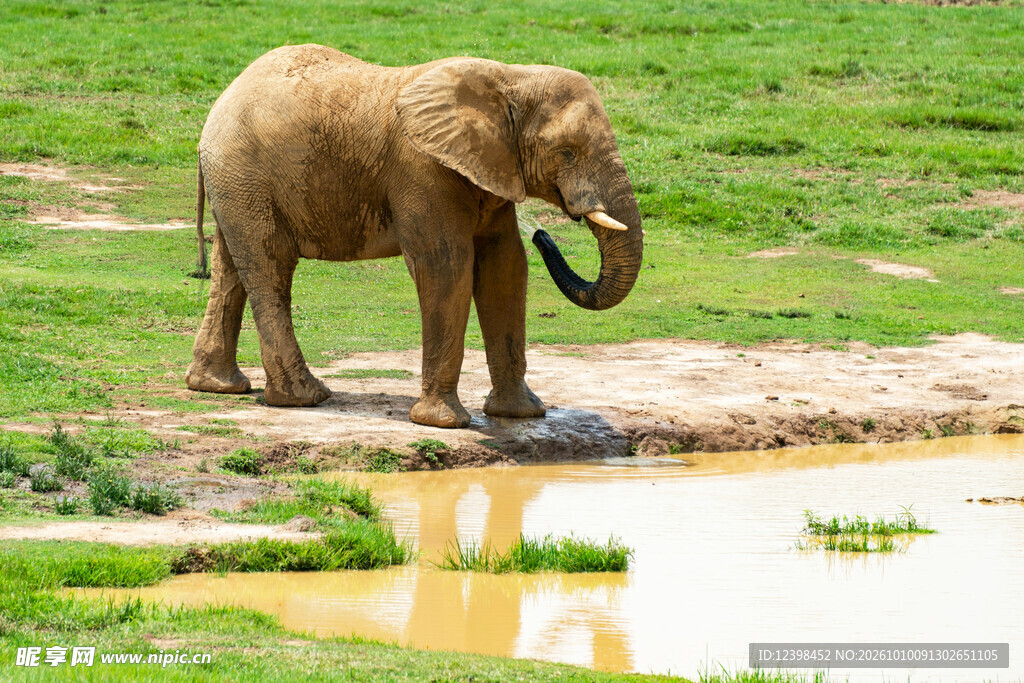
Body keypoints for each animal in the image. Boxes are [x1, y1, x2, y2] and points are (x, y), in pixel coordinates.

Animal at [185, 44, 644, 428]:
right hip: (247, 175)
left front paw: (521, 415)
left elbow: (505, 267)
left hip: (237, 183)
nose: (544, 234)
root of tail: (220, 103)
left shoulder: (492, 171)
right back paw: (306, 398)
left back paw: (217, 386)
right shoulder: (423, 170)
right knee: (270, 266)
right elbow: (447, 265)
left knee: (231, 270)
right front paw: (443, 424)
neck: (510, 77)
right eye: (567, 152)